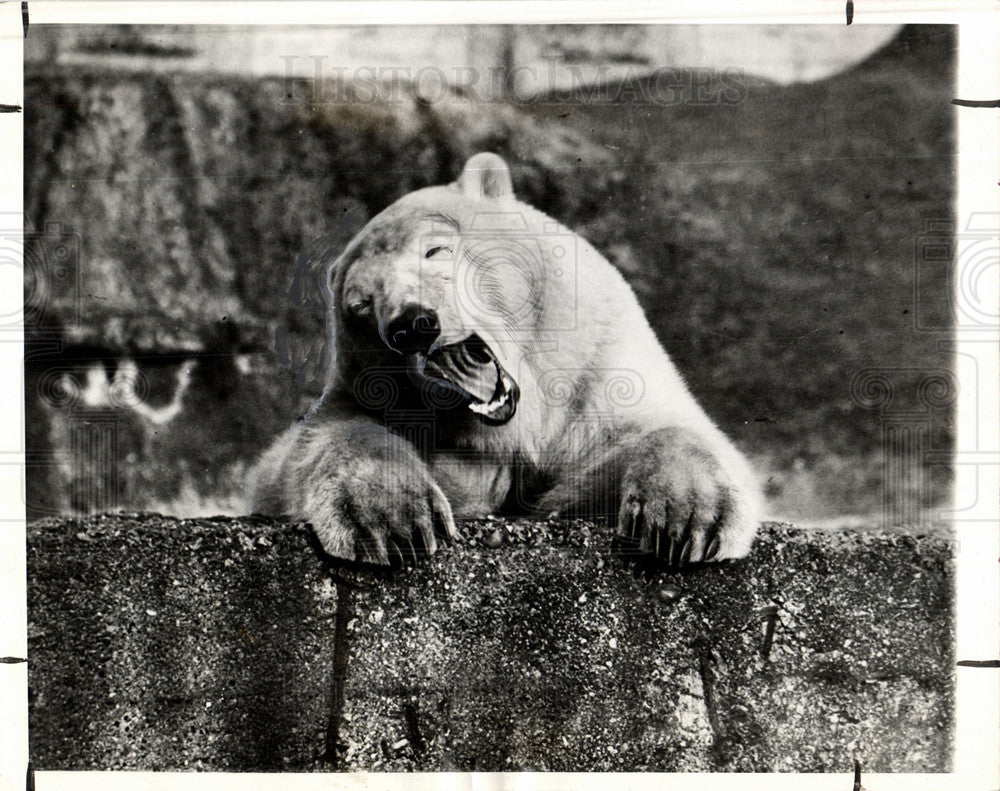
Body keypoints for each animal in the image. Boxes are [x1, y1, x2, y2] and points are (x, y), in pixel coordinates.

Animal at [248, 152, 756, 568]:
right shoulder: (366, 392)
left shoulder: (598, 363)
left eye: (436, 249)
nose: (410, 324)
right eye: (359, 305)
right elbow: (328, 437)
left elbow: (660, 435)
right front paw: (395, 522)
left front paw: (685, 521)